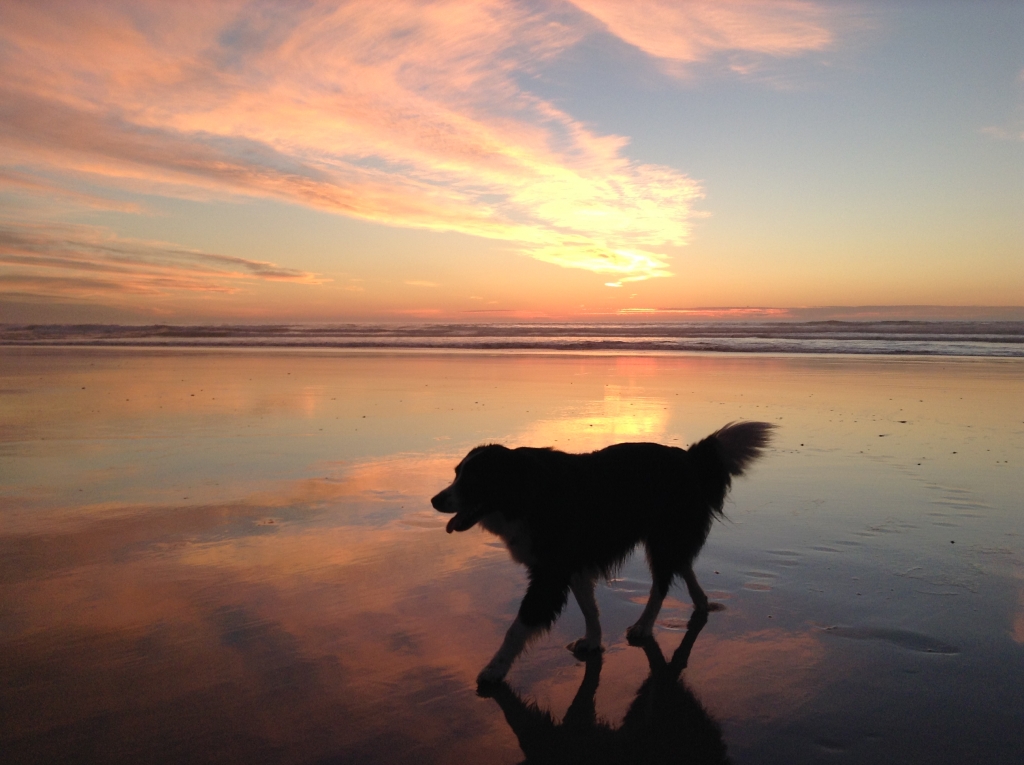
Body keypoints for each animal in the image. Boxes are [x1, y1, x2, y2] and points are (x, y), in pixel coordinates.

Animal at [428, 421, 770, 684]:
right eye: (456, 473)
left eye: (473, 479)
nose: (434, 500)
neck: (525, 491)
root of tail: (687, 457)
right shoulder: (573, 564)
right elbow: (588, 607)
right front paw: (593, 641)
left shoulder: (551, 572)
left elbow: (518, 628)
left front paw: (494, 670)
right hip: (667, 537)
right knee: (681, 564)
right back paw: (701, 603)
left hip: (662, 536)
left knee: (662, 582)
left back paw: (644, 625)